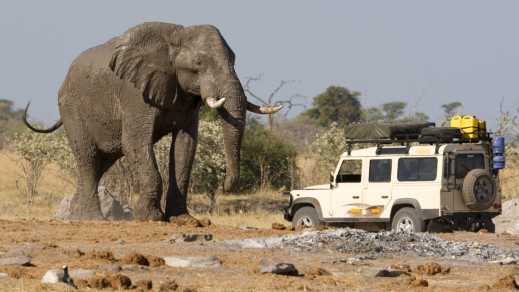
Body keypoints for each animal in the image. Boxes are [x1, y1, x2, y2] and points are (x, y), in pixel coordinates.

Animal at [22, 21, 282, 220]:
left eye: (234, 60)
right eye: (199, 63)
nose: (227, 186)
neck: (176, 37)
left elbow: (185, 146)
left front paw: (182, 219)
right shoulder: (134, 92)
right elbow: (136, 143)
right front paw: (151, 218)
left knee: (100, 162)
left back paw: (75, 214)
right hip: (72, 109)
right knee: (88, 156)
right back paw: (90, 218)